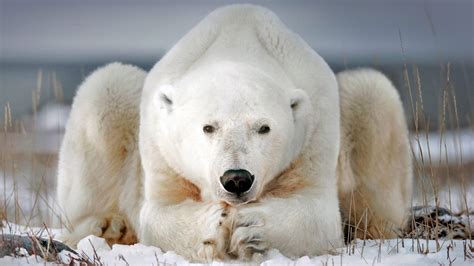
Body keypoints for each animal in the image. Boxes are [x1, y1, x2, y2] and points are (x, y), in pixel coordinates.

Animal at [56, 3, 412, 262]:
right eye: (208, 127)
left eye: (264, 128)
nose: (237, 179)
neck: (237, 43)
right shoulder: (161, 146)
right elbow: (159, 212)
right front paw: (214, 225)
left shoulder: (315, 129)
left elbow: (317, 213)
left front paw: (249, 228)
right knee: (107, 89)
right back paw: (108, 226)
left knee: (372, 95)